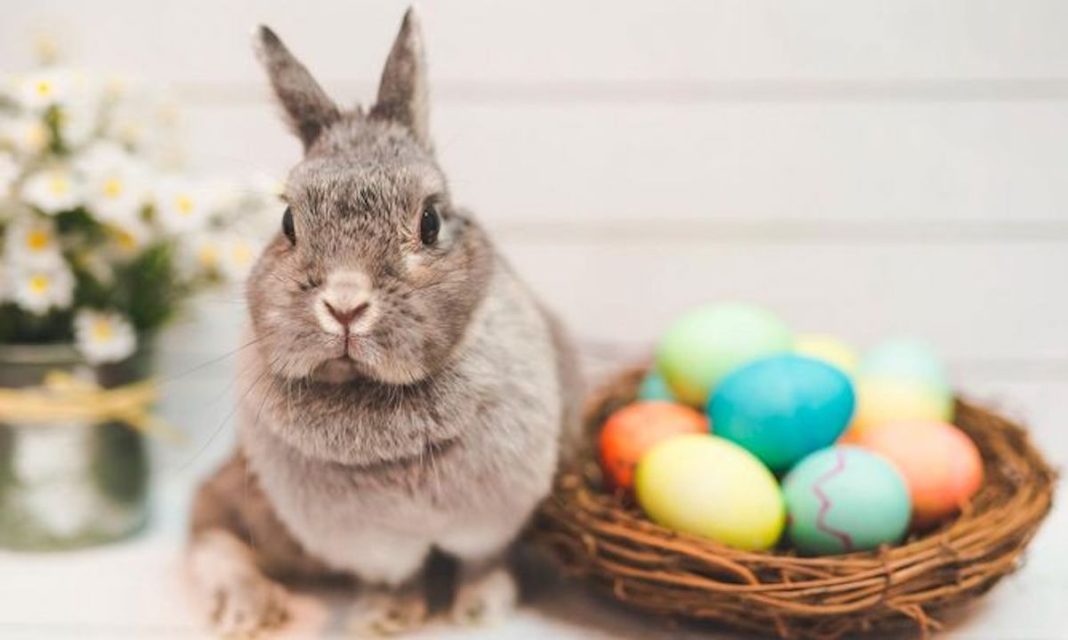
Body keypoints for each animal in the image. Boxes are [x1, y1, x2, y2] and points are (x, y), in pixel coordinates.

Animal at [186, 8, 582, 637]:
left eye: (430, 221)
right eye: (288, 222)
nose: (345, 305)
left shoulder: (492, 519)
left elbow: (484, 560)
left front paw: (475, 610)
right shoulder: (372, 545)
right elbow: (393, 576)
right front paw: (385, 616)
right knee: (208, 523)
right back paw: (246, 607)